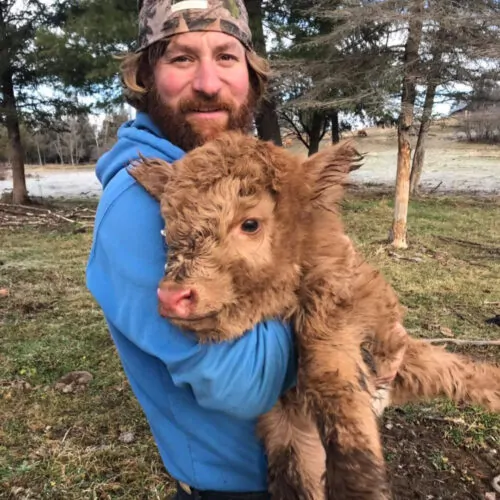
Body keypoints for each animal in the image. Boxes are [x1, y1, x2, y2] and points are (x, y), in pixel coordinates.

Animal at [130, 133, 500, 500]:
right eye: (165, 230)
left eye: (250, 224)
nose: (172, 297)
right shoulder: (287, 426)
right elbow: (298, 468)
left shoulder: (346, 307)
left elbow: (331, 372)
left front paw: (359, 486)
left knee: (458, 369)